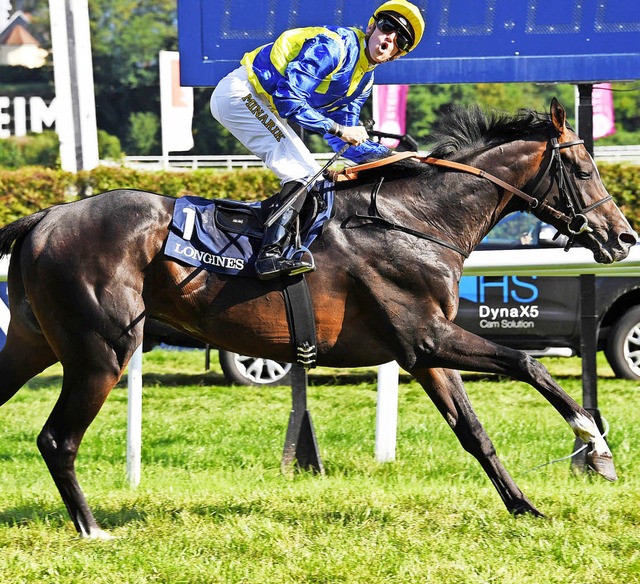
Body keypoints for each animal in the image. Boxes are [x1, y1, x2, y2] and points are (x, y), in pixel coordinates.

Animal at [0, 97, 636, 540]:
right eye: (584, 170)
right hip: (101, 351)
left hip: (33, 343)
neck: (416, 220)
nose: (624, 238)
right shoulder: (428, 336)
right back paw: (92, 530)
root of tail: (45, 217)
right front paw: (595, 444)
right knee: (59, 439)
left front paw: (524, 506)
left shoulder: (422, 351)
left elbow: (474, 431)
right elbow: (529, 362)